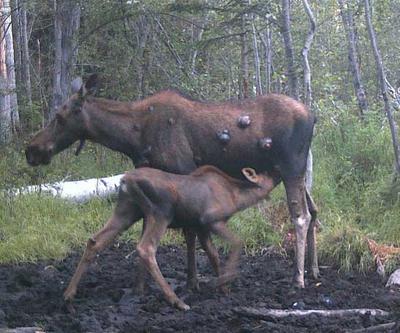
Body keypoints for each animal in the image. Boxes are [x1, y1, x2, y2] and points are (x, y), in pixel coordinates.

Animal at [25, 73, 318, 294]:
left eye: (60, 116)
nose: (32, 149)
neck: (132, 137)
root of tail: (313, 116)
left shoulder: (181, 172)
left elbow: (190, 233)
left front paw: (195, 281)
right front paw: (145, 286)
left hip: (291, 168)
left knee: (301, 216)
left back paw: (298, 277)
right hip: (300, 172)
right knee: (315, 211)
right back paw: (314, 271)